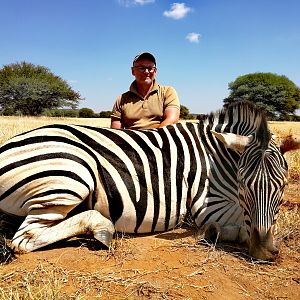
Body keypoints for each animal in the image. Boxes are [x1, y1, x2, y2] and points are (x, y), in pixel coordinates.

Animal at [0, 101, 298, 260]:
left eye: (283, 187)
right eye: (243, 187)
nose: (264, 251)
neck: (217, 156)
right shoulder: (209, 205)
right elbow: (240, 227)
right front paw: (216, 232)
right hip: (70, 175)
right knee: (23, 239)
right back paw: (101, 228)